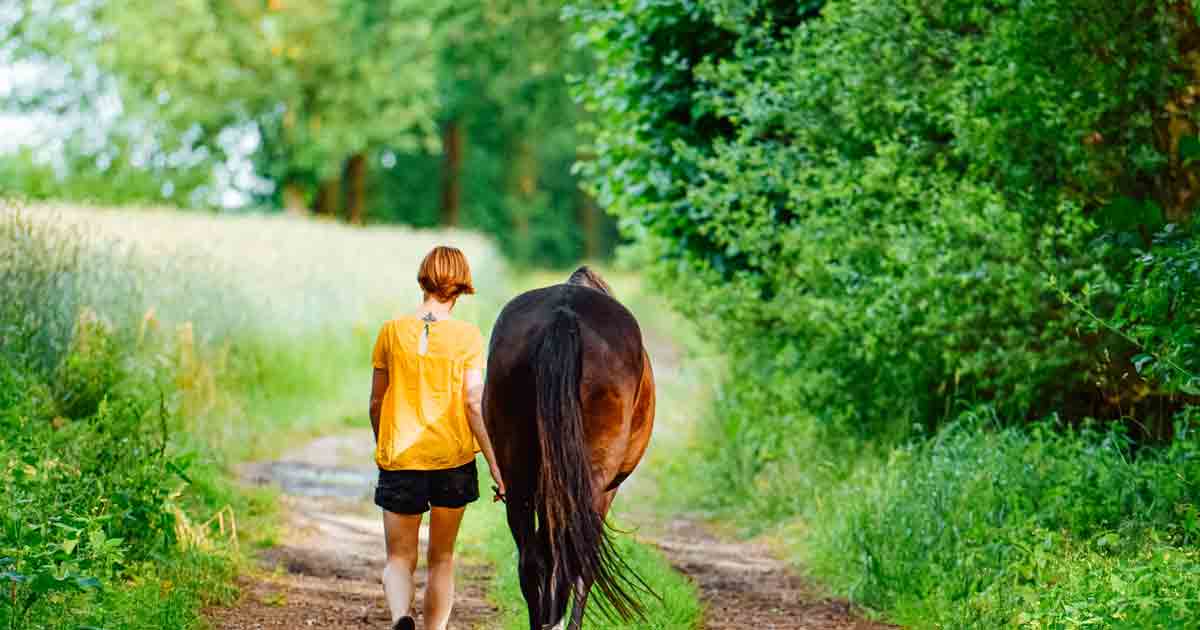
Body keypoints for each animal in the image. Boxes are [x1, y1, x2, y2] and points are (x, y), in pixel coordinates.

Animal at [480, 266, 657, 628]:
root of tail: (563, 315)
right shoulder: (604, 492)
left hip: (521, 479)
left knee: (532, 559)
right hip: (591, 483)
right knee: (577, 561)